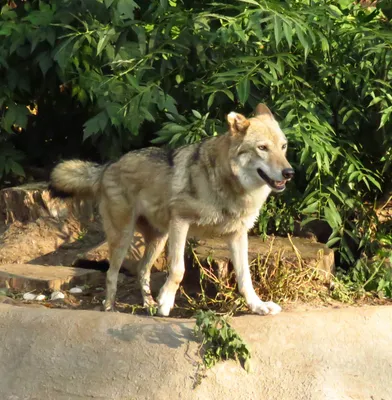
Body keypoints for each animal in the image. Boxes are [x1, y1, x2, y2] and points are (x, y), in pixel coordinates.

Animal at [49, 103, 294, 316]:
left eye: (283, 147)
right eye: (262, 148)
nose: (289, 172)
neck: (226, 184)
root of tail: (108, 165)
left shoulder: (237, 235)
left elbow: (245, 278)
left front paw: (258, 306)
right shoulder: (180, 222)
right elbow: (178, 270)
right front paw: (166, 301)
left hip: (158, 240)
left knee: (142, 269)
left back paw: (148, 303)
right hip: (124, 238)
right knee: (111, 273)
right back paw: (110, 307)